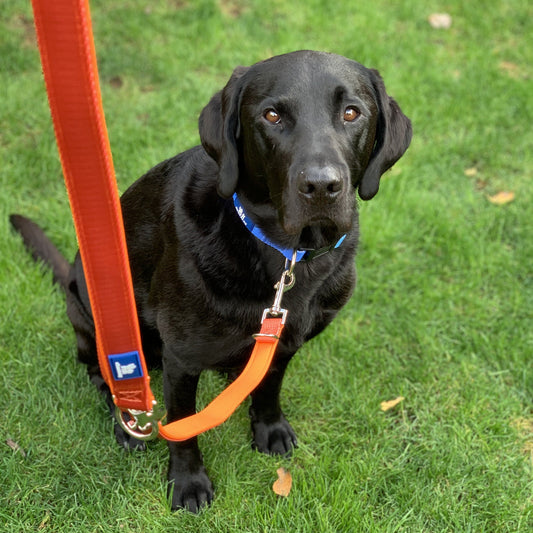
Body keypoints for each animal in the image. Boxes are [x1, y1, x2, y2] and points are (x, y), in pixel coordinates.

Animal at [11, 51, 412, 512]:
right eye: (272, 115)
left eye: (351, 112)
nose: (321, 185)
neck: (286, 256)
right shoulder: (182, 359)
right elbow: (182, 426)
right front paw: (188, 482)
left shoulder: (284, 341)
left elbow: (269, 387)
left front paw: (269, 428)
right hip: (91, 315)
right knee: (105, 372)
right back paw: (126, 419)